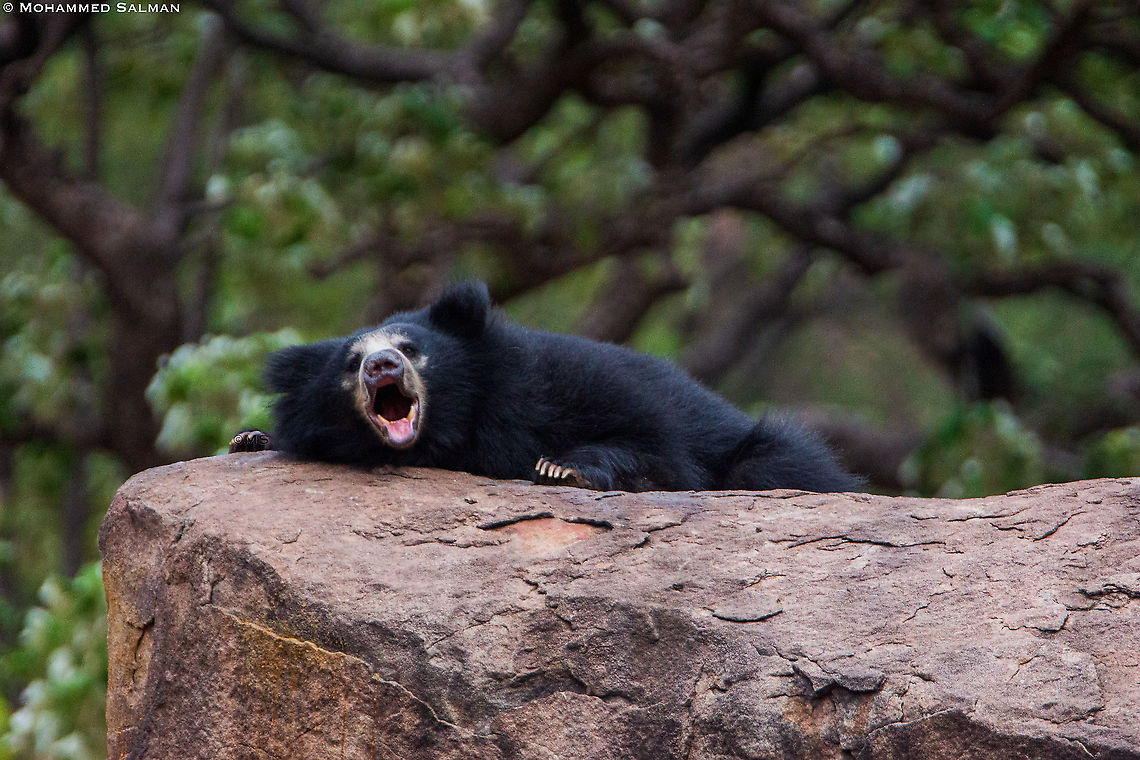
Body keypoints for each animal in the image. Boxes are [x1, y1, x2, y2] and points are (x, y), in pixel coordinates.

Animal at [230, 281, 857, 493]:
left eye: (411, 349)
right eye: (351, 362)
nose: (381, 367)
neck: (453, 428)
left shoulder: (561, 381)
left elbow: (659, 449)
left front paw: (560, 467)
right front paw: (250, 439)